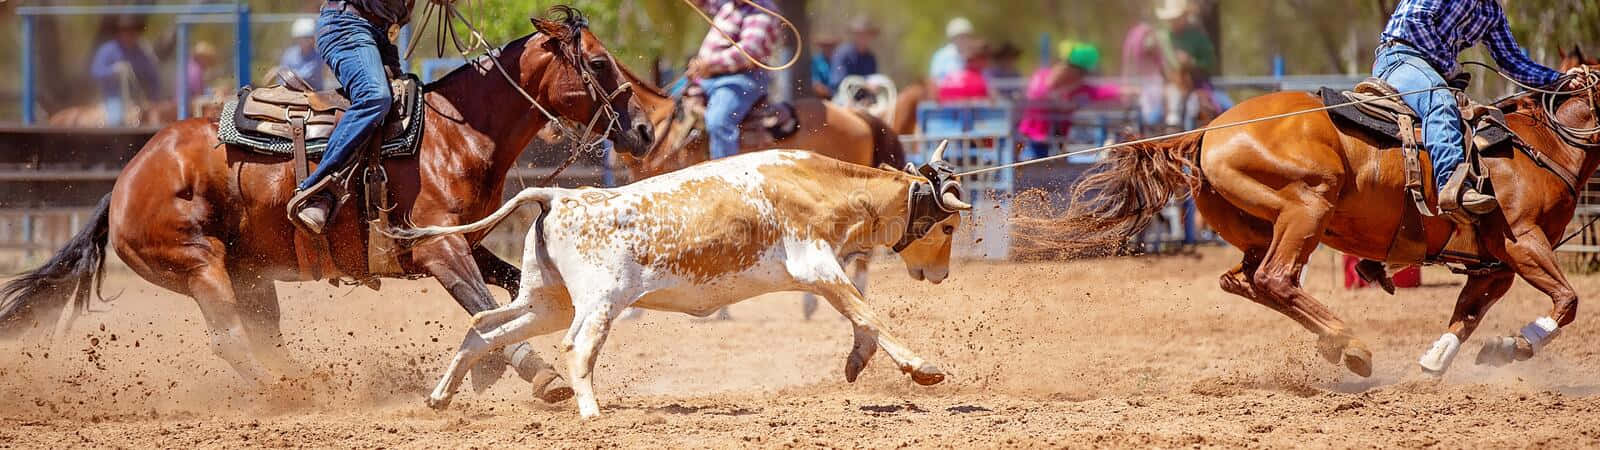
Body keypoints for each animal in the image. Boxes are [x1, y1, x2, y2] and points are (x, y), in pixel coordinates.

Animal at [389, 145, 972, 418]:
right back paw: (591, 412)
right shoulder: (817, 265)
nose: (940, 274)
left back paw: (440, 397)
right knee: (576, 347)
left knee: (483, 327)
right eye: (946, 225)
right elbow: (870, 313)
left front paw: (857, 361)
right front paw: (923, 368)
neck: (817, 185)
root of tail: (559, 195)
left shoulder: (823, 275)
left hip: (546, 301)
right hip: (598, 302)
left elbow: (859, 317)